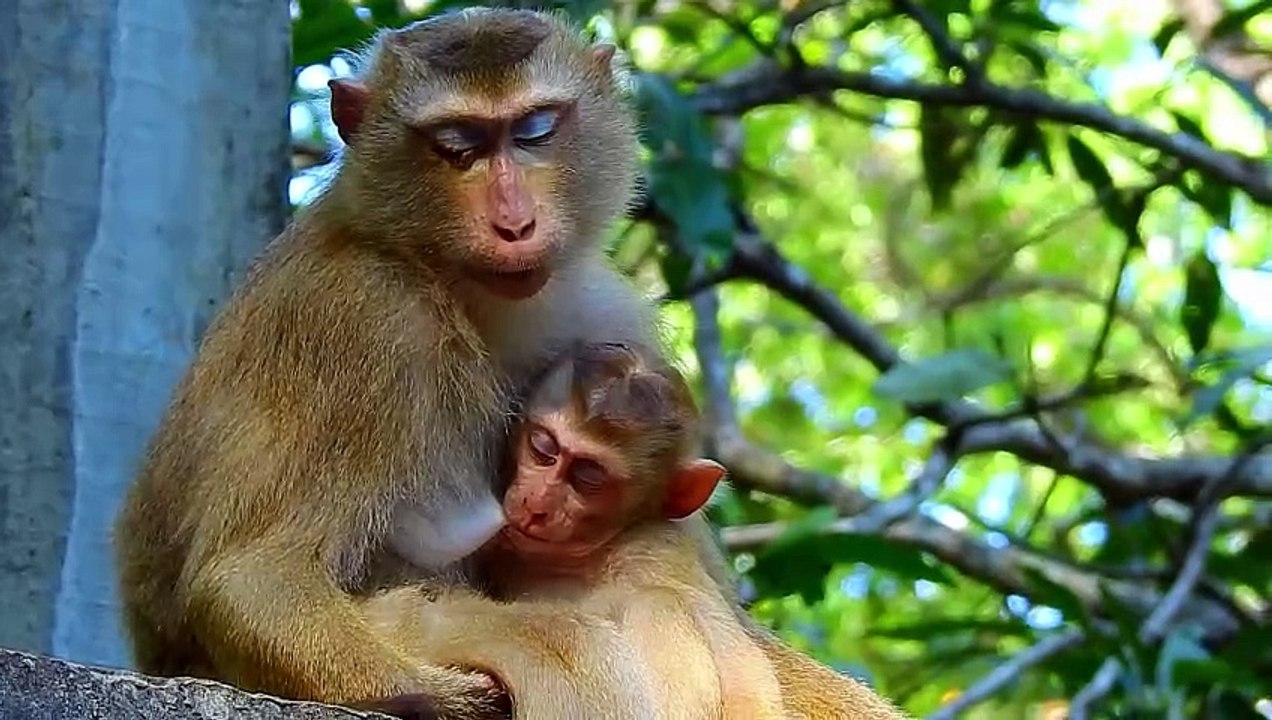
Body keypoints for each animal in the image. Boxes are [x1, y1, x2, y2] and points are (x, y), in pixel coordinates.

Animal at [113, 7, 906, 719]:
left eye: (533, 132)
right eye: (457, 147)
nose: (514, 223)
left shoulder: (606, 314)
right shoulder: (362, 316)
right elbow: (250, 578)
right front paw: (443, 699)